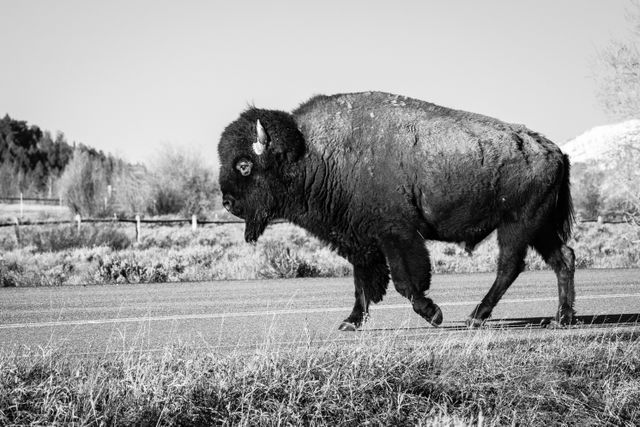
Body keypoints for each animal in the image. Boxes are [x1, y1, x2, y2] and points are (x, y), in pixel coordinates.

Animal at [218, 91, 576, 332]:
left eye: (244, 165)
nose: (228, 202)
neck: (311, 152)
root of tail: (556, 151)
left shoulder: (395, 234)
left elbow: (405, 281)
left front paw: (433, 313)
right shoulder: (360, 240)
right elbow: (363, 283)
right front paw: (351, 322)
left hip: (517, 225)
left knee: (510, 266)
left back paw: (476, 316)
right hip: (540, 228)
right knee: (563, 258)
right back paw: (561, 318)